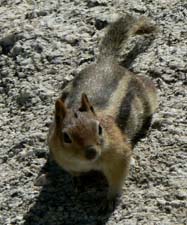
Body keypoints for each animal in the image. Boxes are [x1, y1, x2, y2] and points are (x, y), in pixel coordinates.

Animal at [47, 14, 158, 209]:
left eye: (99, 129)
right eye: (66, 137)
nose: (92, 152)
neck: (87, 162)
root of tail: (105, 62)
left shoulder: (119, 155)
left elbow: (117, 179)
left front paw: (109, 199)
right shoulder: (61, 156)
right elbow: (74, 173)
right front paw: (78, 181)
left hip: (145, 96)